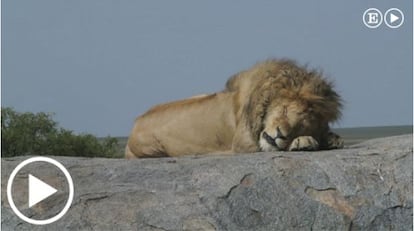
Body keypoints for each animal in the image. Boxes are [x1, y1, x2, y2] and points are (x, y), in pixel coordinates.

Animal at [124, 59, 344, 159]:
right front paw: (305, 142)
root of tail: (135, 122)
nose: (280, 135)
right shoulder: (243, 143)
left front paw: (331, 139)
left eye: (300, 127)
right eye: (283, 111)